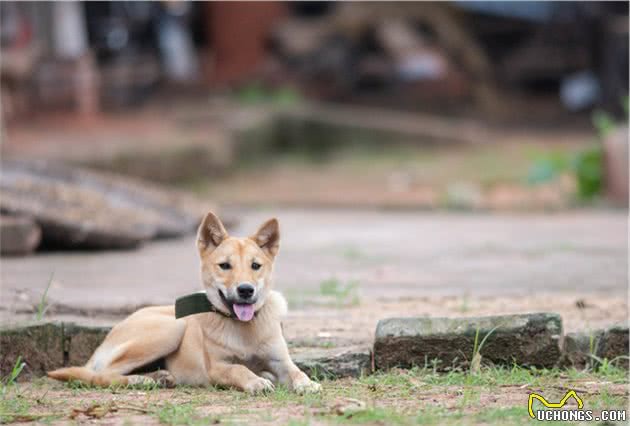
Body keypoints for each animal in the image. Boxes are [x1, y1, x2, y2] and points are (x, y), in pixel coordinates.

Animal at [48, 211, 320, 394]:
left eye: (256, 266)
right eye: (225, 265)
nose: (245, 290)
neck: (244, 328)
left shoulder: (280, 361)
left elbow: (296, 371)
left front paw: (307, 384)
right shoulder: (216, 368)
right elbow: (239, 369)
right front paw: (256, 381)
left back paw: (159, 376)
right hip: (173, 328)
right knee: (103, 374)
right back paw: (141, 380)